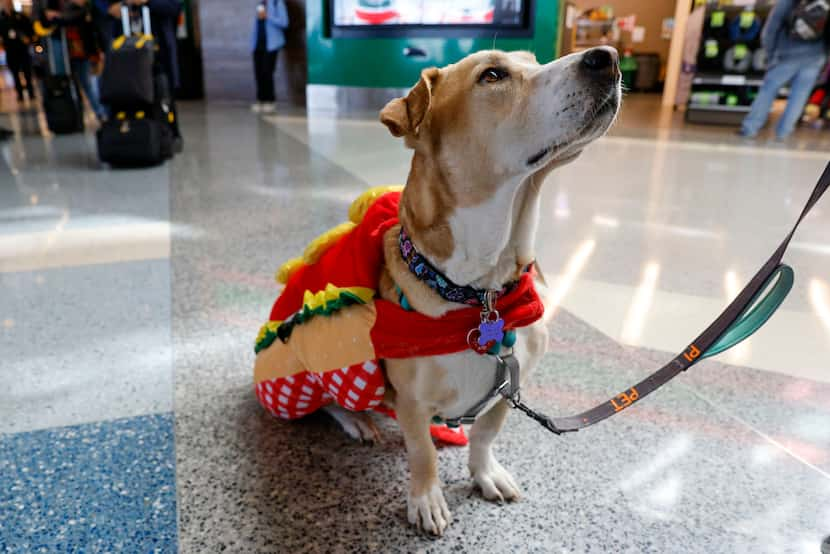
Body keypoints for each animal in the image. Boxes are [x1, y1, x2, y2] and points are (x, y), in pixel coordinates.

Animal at [256, 47, 620, 536]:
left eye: (533, 59)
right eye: (493, 75)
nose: (608, 57)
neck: (478, 293)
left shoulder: (510, 385)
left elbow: (485, 435)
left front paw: (485, 474)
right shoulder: (412, 402)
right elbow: (422, 454)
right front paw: (426, 499)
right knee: (329, 399)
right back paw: (357, 419)